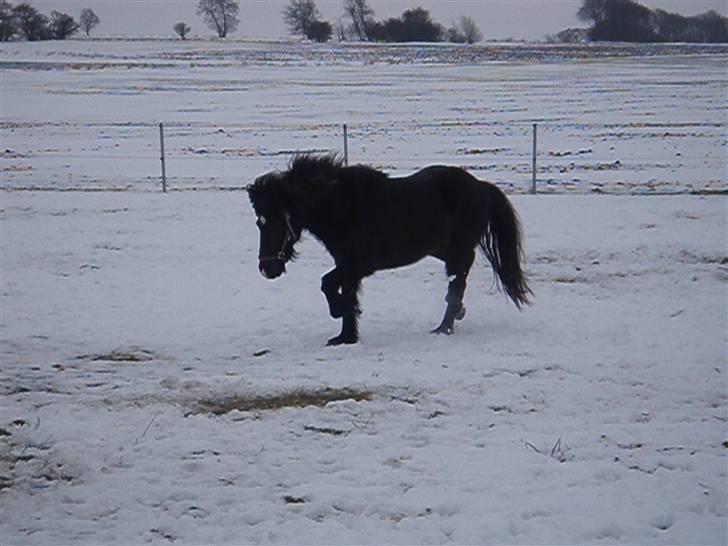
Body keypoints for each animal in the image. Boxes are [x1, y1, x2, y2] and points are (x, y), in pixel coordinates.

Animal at [247, 154, 532, 344]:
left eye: (277, 220)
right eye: (259, 222)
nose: (267, 268)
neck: (345, 208)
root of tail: (480, 186)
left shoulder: (359, 265)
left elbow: (327, 284)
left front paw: (339, 312)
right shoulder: (347, 265)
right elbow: (345, 292)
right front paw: (345, 335)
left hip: (459, 249)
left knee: (457, 282)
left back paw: (444, 328)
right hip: (441, 249)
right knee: (457, 282)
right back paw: (456, 315)